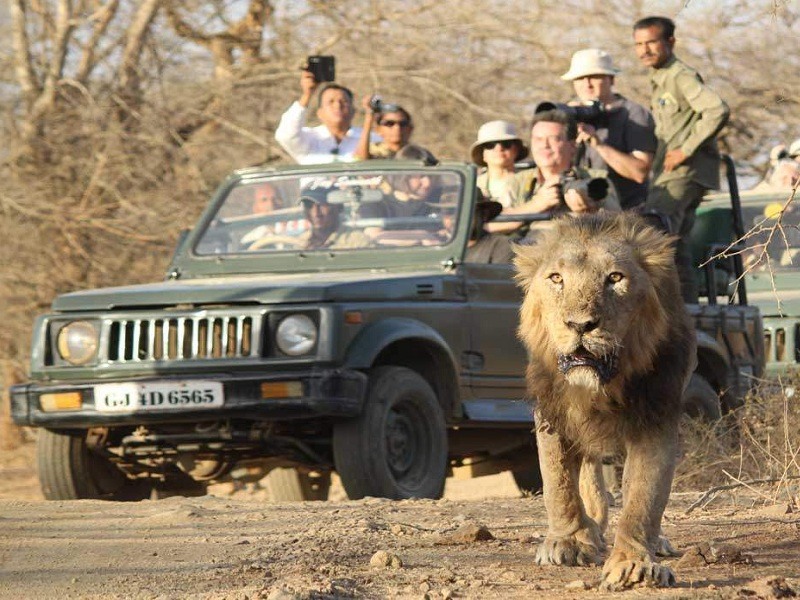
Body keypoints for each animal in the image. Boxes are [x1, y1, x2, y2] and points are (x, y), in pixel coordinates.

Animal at [512, 212, 692, 592]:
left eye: (615, 278)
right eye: (556, 278)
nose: (580, 325)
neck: (602, 386)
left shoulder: (657, 414)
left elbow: (644, 498)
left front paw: (634, 564)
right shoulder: (552, 410)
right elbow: (558, 482)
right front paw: (568, 541)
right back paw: (591, 526)